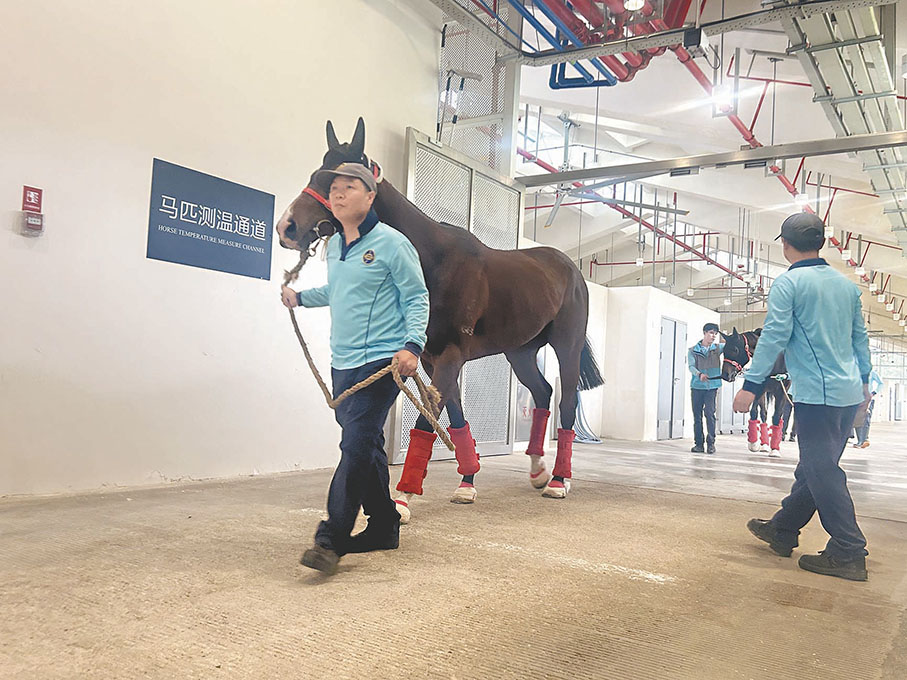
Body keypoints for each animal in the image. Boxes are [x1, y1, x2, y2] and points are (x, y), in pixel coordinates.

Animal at [276, 118, 603, 521]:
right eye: (316, 174)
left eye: (338, 181)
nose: (287, 227)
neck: (431, 259)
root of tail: (570, 267)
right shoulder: (430, 359)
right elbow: (454, 416)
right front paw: (467, 482)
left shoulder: (450, 355)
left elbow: (426, 421)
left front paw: (402, 499)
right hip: (520, 351)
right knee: (543, 392)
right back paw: (537, 470)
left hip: (566, 345)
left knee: (567, 401)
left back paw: (557, 480)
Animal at [720, 327, 792, 457]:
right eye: (724, 351)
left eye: (735, 349)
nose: (725, 375)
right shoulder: (758, 388)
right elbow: (754, 412)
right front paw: (753, 444)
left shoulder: (782, 392)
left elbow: (777, 416)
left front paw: (775, 449)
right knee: (763, 413)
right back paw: (764, 445)